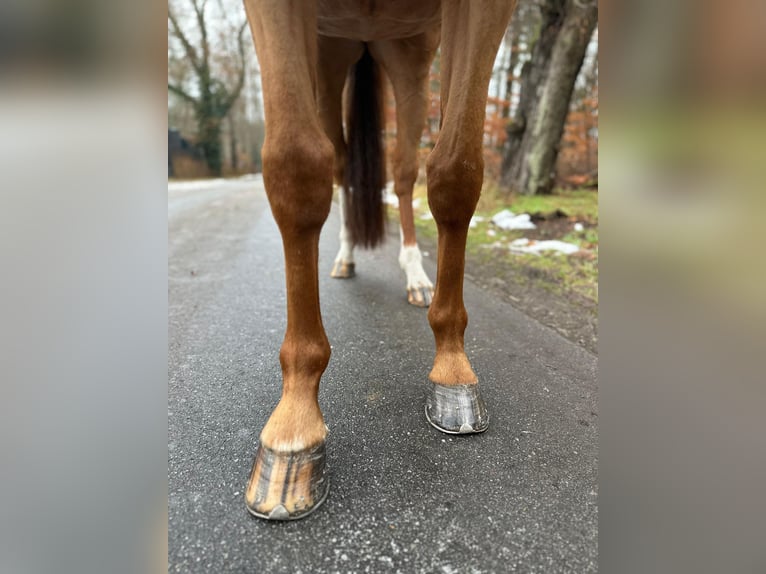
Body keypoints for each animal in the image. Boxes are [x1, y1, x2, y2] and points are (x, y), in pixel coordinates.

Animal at [242, 0, 517, 520]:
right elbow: (296, 168)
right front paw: (295, 424)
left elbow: (457, 171)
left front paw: (452, 367)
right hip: (332, 55)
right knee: (340, 163)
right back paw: (346, 256)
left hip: (409, 55)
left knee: (405, 169)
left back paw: (414, 272)